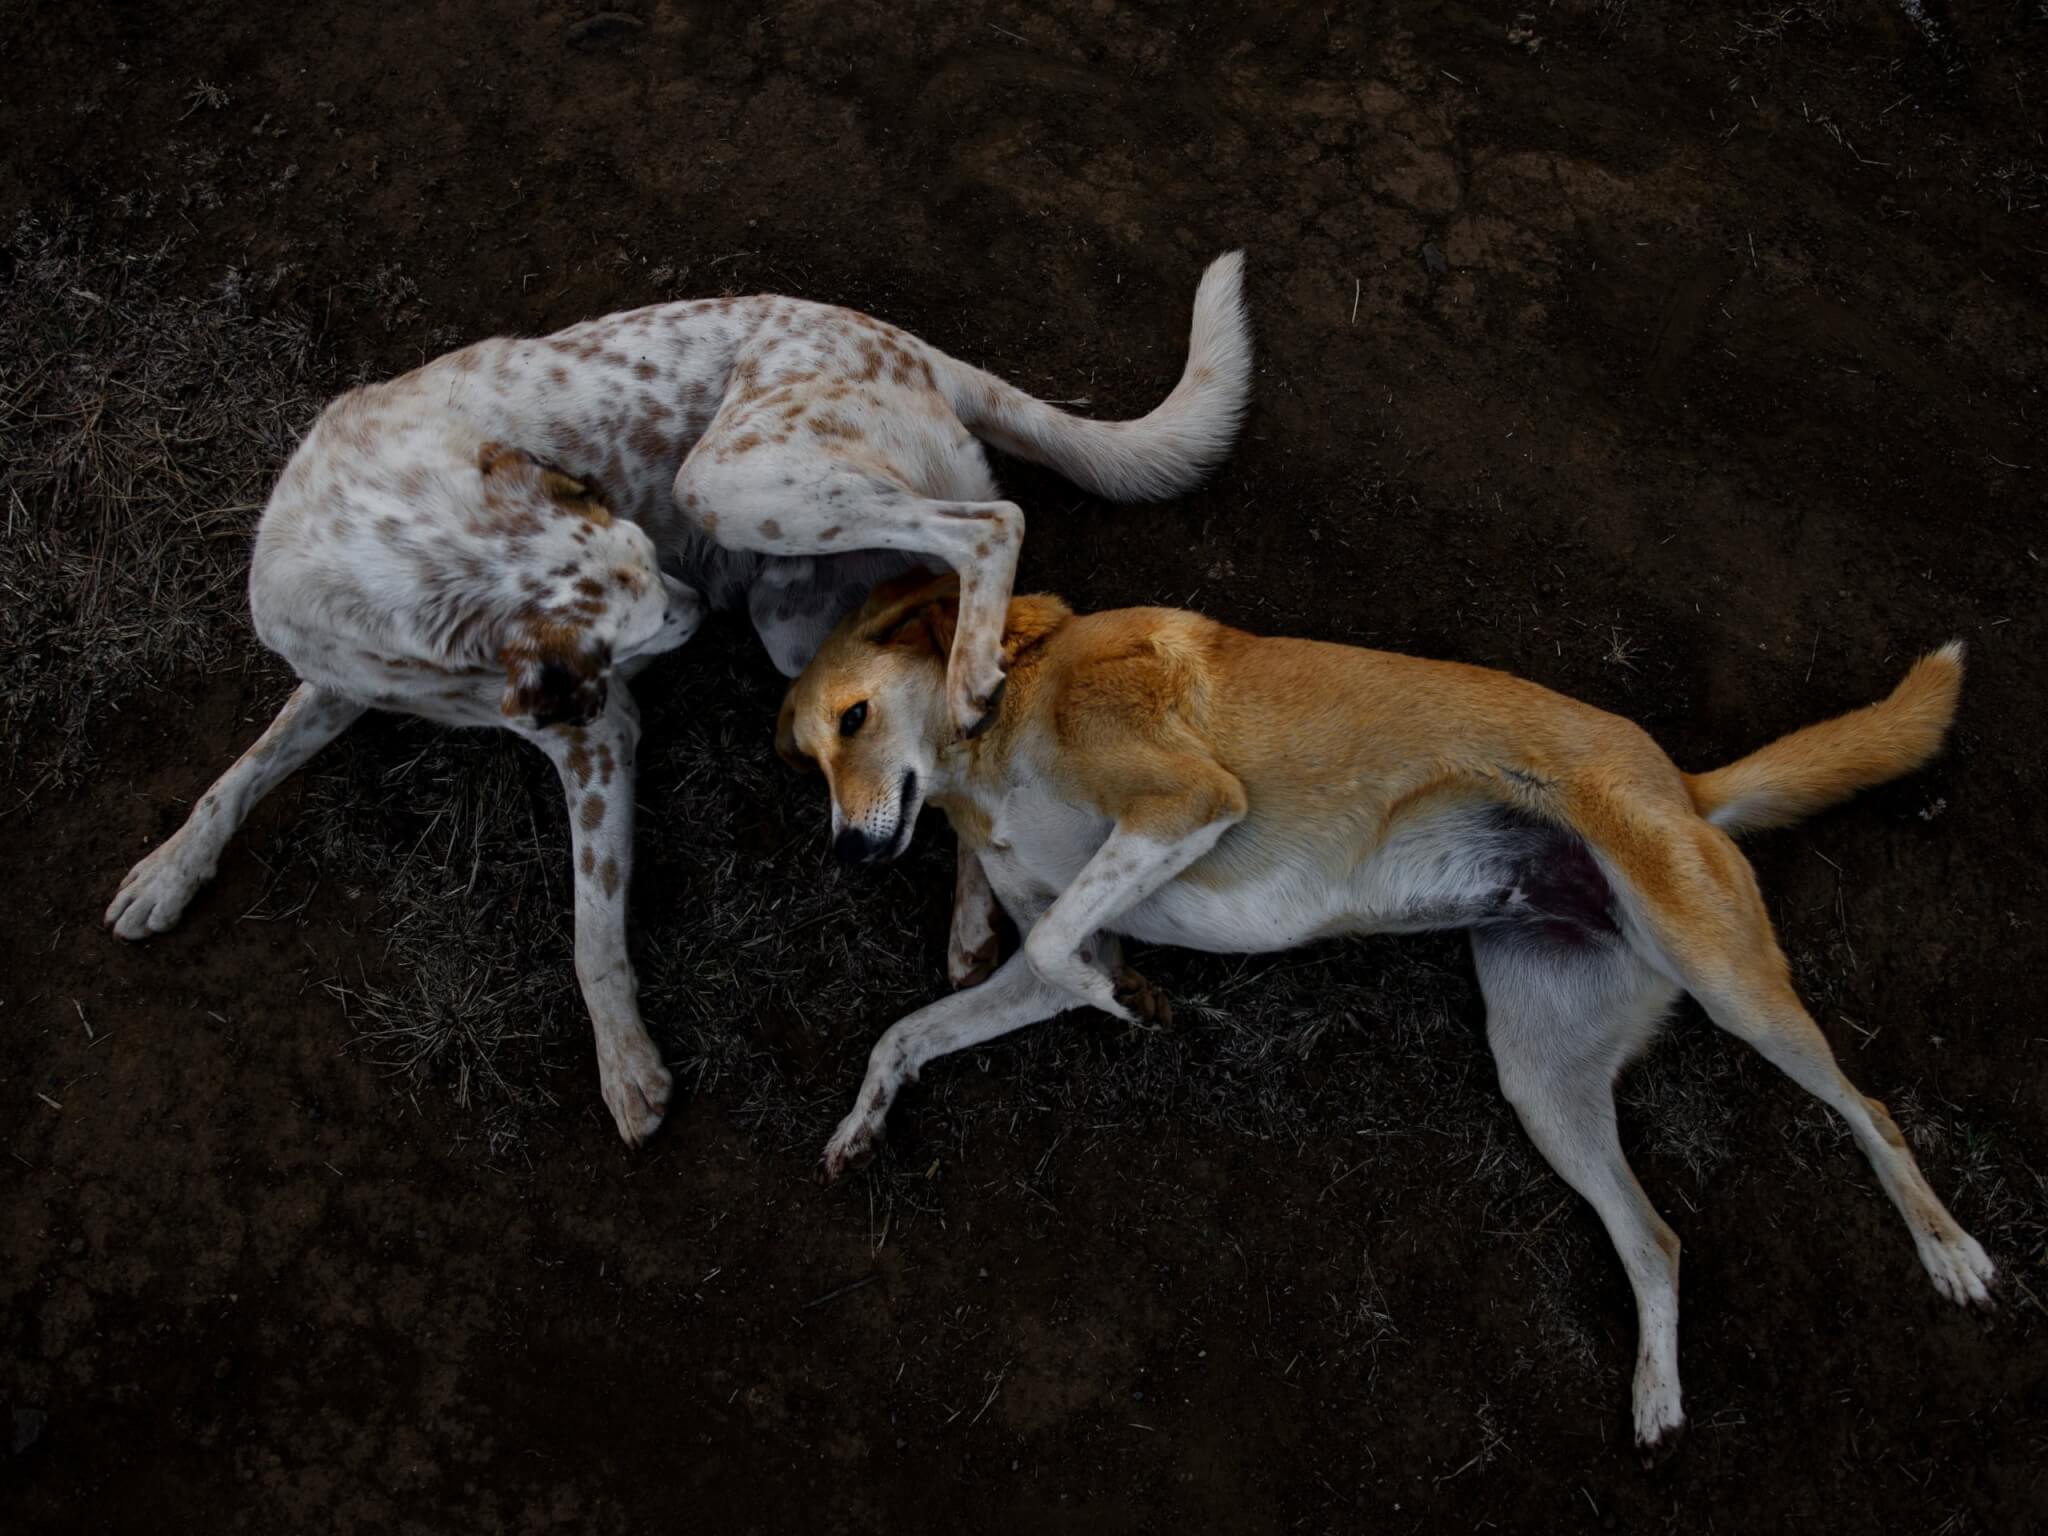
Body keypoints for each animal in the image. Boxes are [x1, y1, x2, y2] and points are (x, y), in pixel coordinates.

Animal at [116, 259, 1261, 1146]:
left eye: (644, 572)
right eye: (638, 611)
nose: (692, 606)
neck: (402, 548)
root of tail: (912, 346)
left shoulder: (597, 734)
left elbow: (590, 932)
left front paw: (624, 1068)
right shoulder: (344, 675)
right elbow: (238, 774)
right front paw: (166, 873)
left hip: (733, 483)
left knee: (994, 527)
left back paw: (980, 675)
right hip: (800, 615)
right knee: (932, 708)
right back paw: (974, 906)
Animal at [782, 577, 1998, 1458]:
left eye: (855, 716)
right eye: (805, 754)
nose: (842, 855)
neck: (1003, 715)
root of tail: (1682, 784)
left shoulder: (1187, 803)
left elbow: (1050, 949)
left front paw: (1123, 1002)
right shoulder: (1073, 919)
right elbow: (916, 1026)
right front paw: (862, 1124)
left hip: (1728, 979)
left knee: (1872, 1110)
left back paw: (1947, 1251)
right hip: (1541, 1077)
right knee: (1654, 1239)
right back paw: (1656, 1398)